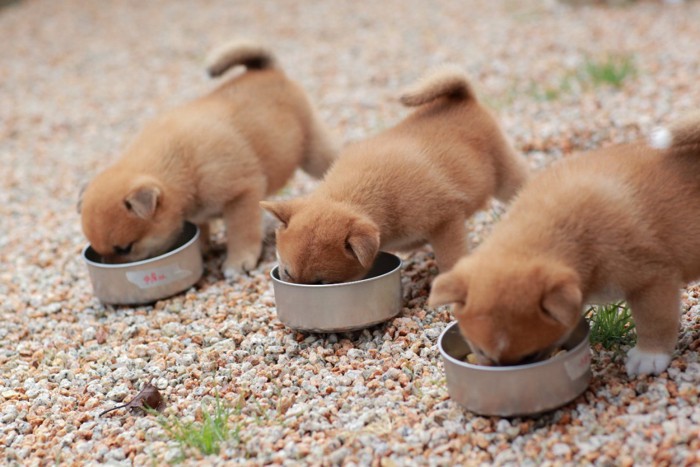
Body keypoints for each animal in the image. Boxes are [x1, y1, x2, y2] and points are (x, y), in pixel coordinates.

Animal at [80, 40, 338, 276]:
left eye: (125, 249)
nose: (108, 264)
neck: (180, 164)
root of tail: (266, 70)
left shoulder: (242, 196)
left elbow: (241, 233)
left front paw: (237, 262)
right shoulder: (198, 212)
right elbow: (202, 228)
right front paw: (202, 248)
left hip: (313, 151)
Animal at [262, 66, 532, 286]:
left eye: (321, 283)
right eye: (287, 273)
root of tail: (460, 97)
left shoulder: (446, 221)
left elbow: (450, 258)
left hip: (505, 174)